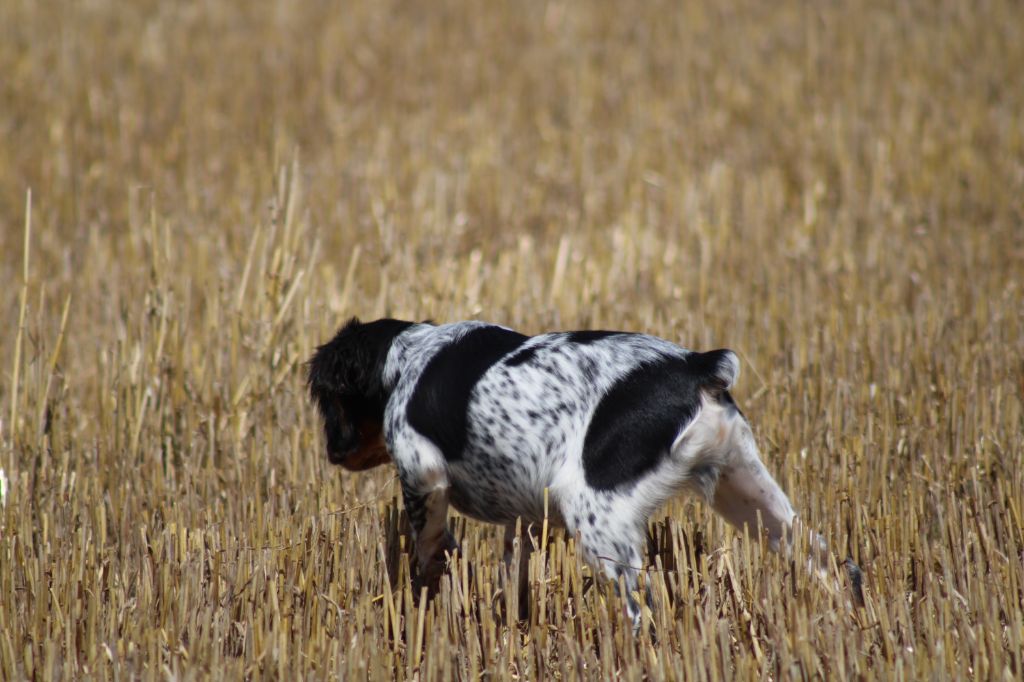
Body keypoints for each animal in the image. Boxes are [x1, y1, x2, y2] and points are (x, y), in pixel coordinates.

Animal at [305, 315, 831, 622]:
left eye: (330, 401)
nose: (332, 452)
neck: (411, 356)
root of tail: (696, 368)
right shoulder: (522, 516)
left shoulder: (421, 470)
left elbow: (429, 542)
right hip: (748, 492)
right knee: (823, 556)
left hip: (599, 517)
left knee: (644, 609)